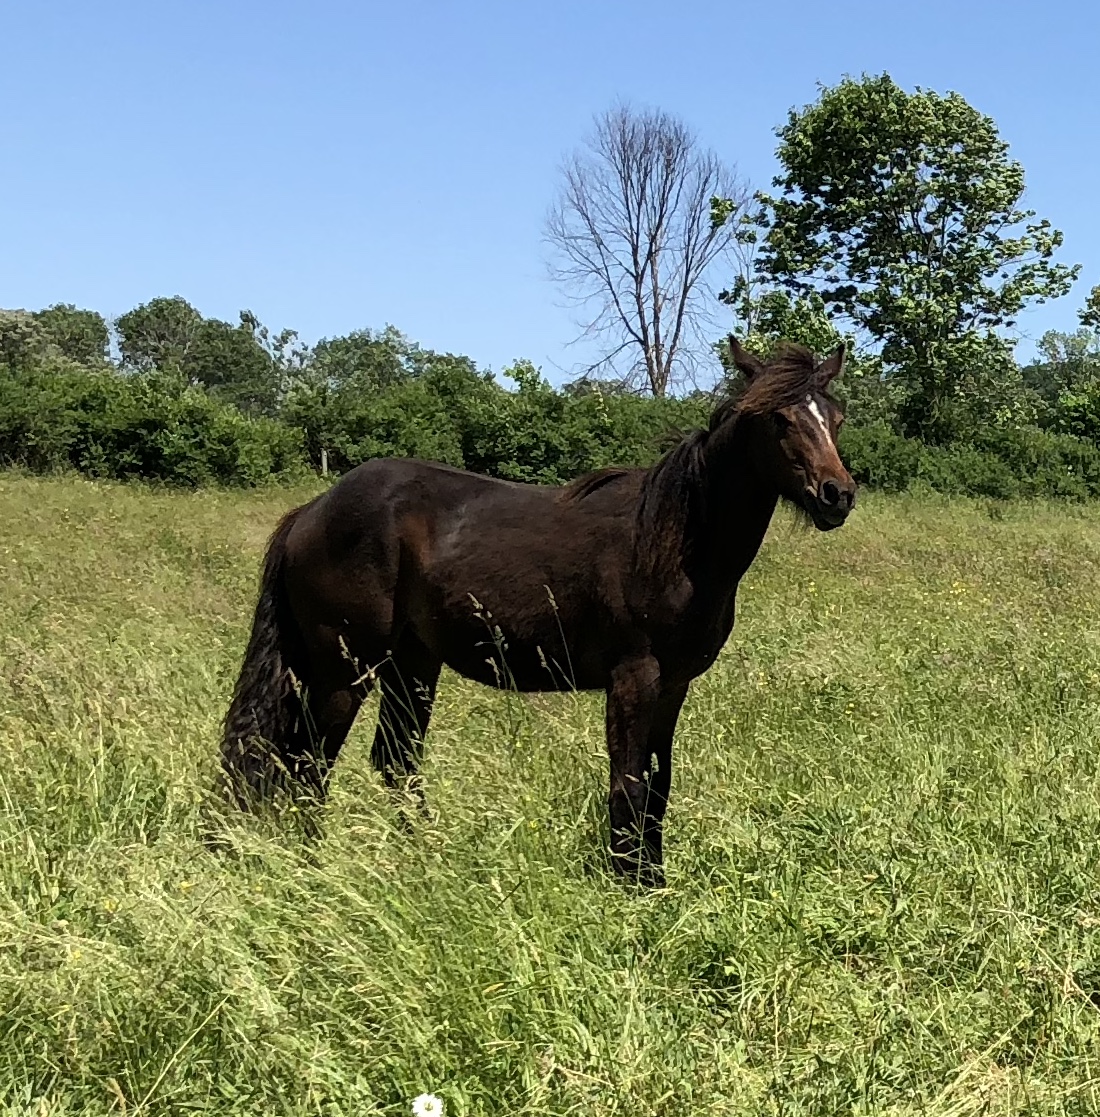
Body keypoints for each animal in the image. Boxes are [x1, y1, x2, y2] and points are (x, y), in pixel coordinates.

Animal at [217, 337, 856, 885]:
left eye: (836, 416)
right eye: (777, 418)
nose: (838, 496)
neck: (677, 540)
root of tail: (311, 511)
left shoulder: (674, 685)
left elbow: (658, 785)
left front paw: (654, 882)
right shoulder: (634, 678)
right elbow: (628, 785)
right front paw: (629, 888)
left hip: (411, 665)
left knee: (391, 762)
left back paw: (424, 861)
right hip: (342, 671)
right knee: (308, 765)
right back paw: (315, 868)